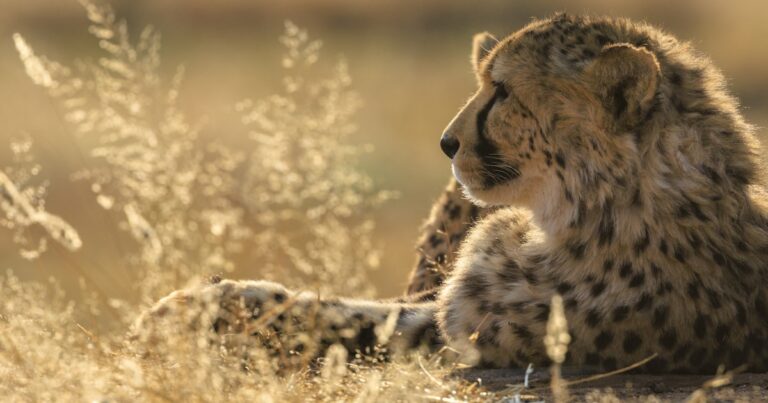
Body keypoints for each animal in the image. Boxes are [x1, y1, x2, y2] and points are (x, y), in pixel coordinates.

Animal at [134, 14, 768, 374]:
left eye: (503, 91)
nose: (446, 142)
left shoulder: (478, 335)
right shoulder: (443, 314)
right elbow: (351, 312)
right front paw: (198, 306)